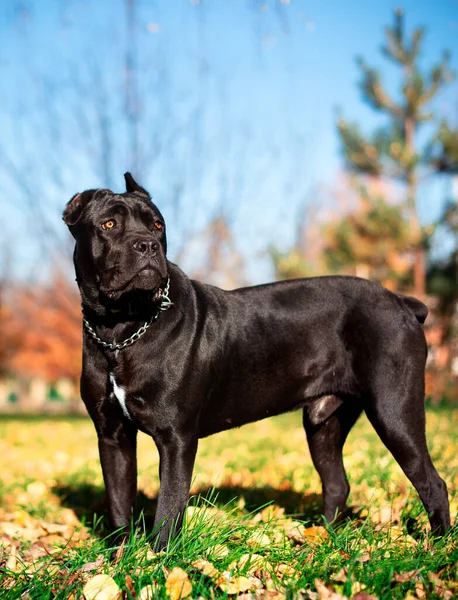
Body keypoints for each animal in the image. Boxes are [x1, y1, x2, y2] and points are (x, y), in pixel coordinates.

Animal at [63, 172, 450, 548]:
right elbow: (118, 501)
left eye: (158, 225)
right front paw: (119, 557)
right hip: (324, 424)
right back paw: (322, 540)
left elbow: (168, 508)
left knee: (433, 483)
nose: (147, 244)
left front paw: (159, 559)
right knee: (337, 483)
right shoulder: (112, 435)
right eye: (109, 224)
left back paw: (438, 548)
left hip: (393, 411)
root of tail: (401, 301)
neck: (121, 330)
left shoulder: (176, 437)